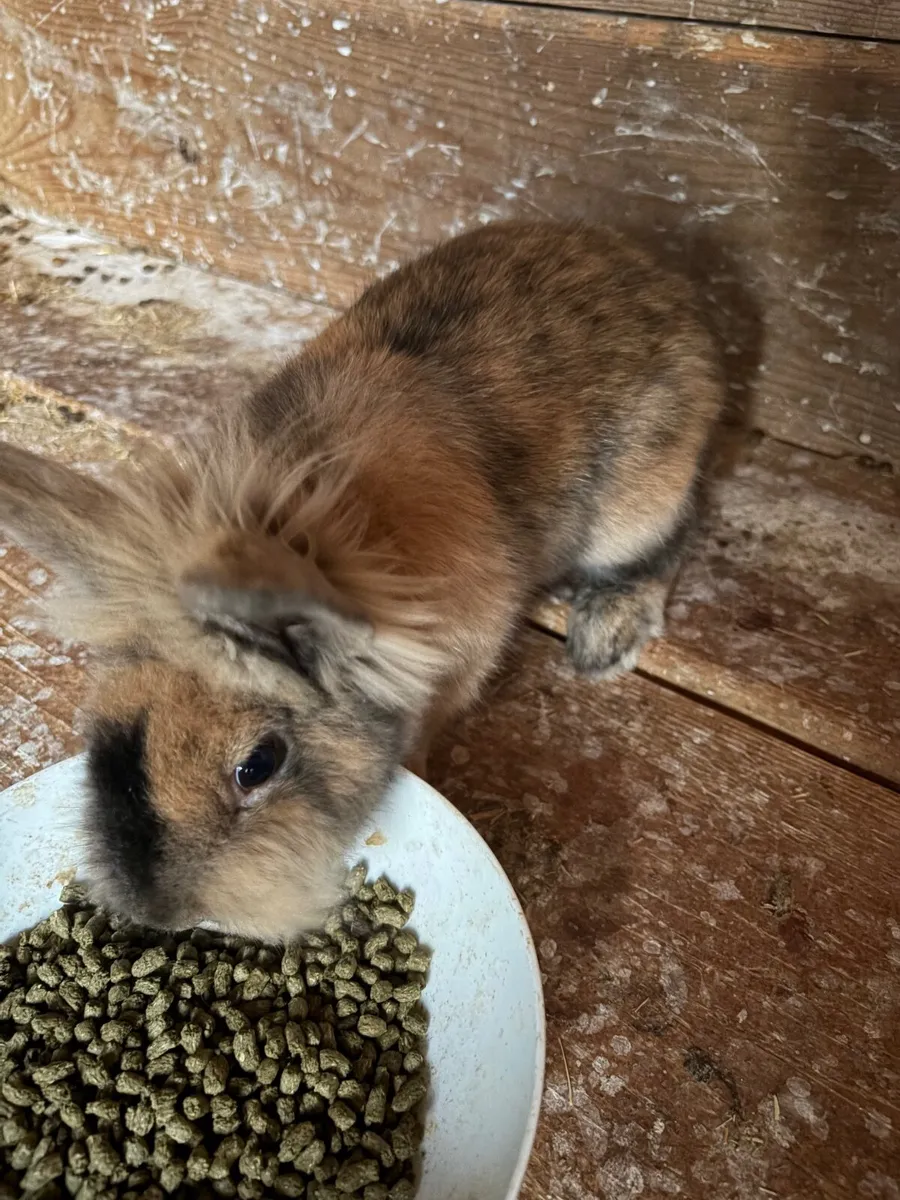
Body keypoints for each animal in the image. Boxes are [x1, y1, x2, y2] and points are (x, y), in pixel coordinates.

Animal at [0, 220, 723, 942]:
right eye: (104, 729)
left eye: (257, 765)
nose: (162, 913)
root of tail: (659, 273)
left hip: (636, 506)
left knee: (667, 543)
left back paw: (604, 637)